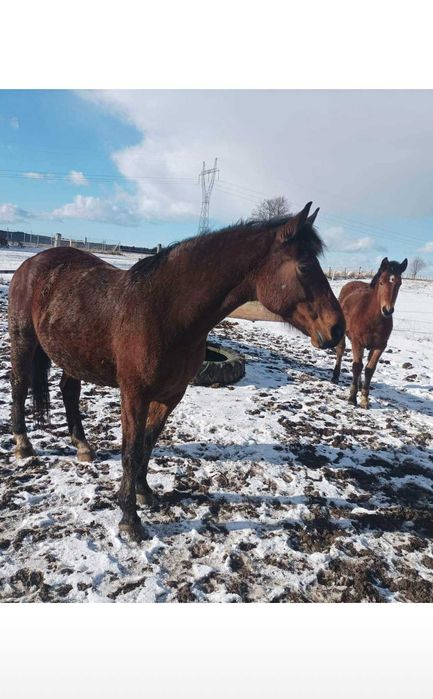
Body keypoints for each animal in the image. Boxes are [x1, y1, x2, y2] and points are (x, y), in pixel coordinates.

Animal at [8, 202, 344, 540]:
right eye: (304, 266)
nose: (337, 329)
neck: (163, 312)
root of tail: (31, 264)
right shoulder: (134, 396)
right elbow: (131, 450)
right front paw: (130, 518)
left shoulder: (170, 396)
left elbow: (147, 443)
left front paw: (144, 492)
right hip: (23, 341)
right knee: (19, 386)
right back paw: (23, 445)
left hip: (73, 355)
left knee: (69, 391)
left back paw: (82, 446)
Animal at [330, 258, 404, 410]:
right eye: (381, 282)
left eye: (399, 283)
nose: (387, 310)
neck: (371, 317)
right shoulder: (357, 342)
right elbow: (357, 366)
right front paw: (352, 398)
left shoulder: (379, 346)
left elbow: (370, 369)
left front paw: (364, 399)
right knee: (340, 351)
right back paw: (335, 377)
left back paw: (358, 385)